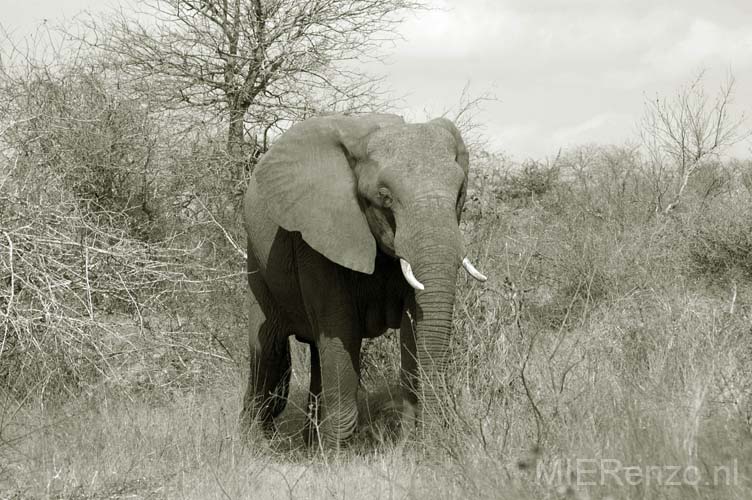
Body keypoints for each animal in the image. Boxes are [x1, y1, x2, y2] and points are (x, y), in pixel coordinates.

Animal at [241, 113, 488, 450]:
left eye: (460, 194)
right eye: (384, 197)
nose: (436, 441)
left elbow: (414, 327)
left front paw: (409, 445)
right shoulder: (317, 235)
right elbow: (341, 328)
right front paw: (335, 457)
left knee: (314, 354)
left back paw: (309, 443)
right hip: (258, 263)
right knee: (269, 351)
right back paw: (255, 443)